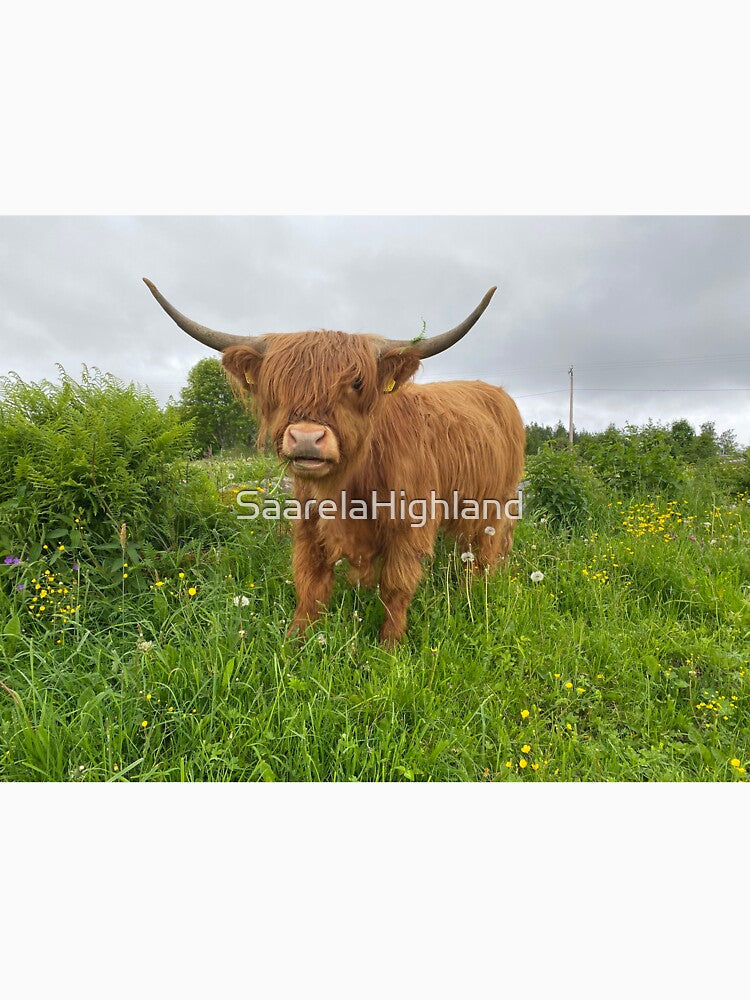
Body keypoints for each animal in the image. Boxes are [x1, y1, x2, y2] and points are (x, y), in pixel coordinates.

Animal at [144, 279, 525, 645]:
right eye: (275, 384)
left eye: (356, 382)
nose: (306, 437)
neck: (349, 489)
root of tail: (497, 392)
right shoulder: (309, 522)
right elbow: (309, 583)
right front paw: (295, 640)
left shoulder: (409, 525)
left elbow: (396, 586)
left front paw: (390, 646)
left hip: (496, 503)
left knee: (487, 549)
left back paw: (476, 590)